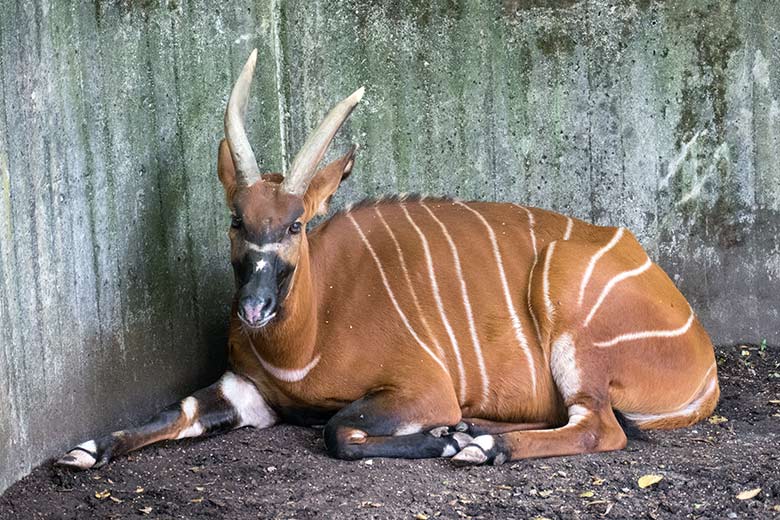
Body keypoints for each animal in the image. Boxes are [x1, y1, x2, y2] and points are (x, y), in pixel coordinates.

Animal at [59, 50, 720, 470]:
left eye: (295, 224)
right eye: (236, 220)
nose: (253, 308)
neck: (308, 336)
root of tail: (705, 363)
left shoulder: (425, 389)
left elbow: (336, 432)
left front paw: (444, 442)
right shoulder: (246, 388)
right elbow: (184, 408)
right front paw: (86, 450)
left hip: (569, 314)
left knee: (600, 427)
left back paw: (479, 445)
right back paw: (475, 431)